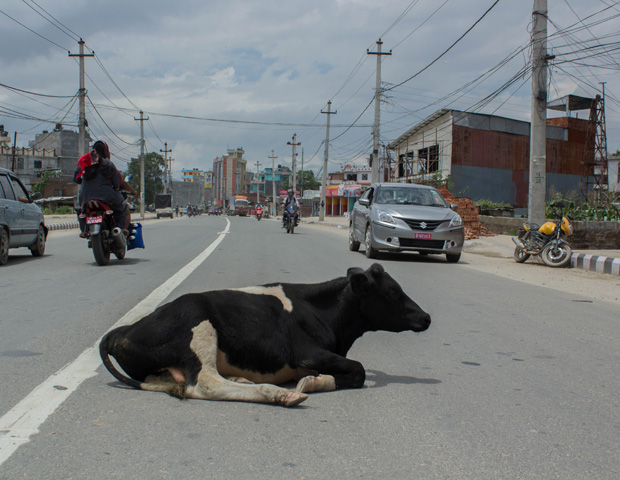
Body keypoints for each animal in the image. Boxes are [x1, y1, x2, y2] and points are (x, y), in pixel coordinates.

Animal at [100, 264, 432, 406]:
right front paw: (311, 384)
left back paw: (245, 380)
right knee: (205, 383)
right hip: (198, 323)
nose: (426, 317)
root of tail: (121, 331)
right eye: (393, 292)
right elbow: (359, 371)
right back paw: (279, 393)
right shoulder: (306, 353)